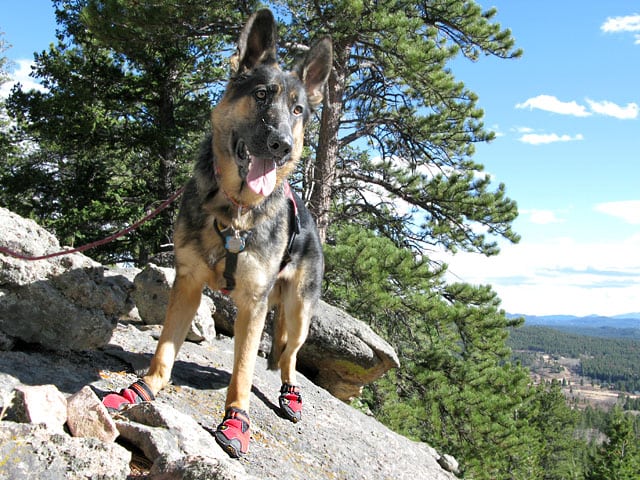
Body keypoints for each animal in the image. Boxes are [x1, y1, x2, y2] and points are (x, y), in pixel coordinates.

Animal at [102, 8, 332, 458]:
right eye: (261, 95)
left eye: (297, 109)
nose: (281, 145)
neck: (235, 212)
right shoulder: (187, 284)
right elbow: (164, 349)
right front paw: (143, 389)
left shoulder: (252, 305)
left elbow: (242, 371)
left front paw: (236, 420)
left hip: (299, 312)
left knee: (290, 356)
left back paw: (290, 394)